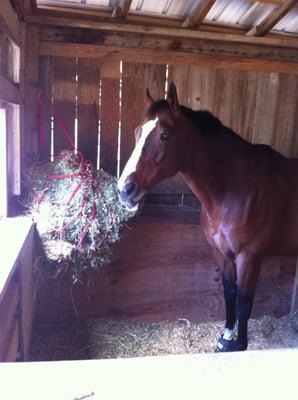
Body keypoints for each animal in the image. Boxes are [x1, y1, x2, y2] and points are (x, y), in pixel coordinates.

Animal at [117, 83, 298, 352]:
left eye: (164, 135)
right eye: (138, 133)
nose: (124, 190)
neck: (235, 189)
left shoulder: (249, 257)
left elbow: (244, 302)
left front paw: (239, 346)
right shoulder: (220, 253)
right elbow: (229, 295)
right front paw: (226, 338)